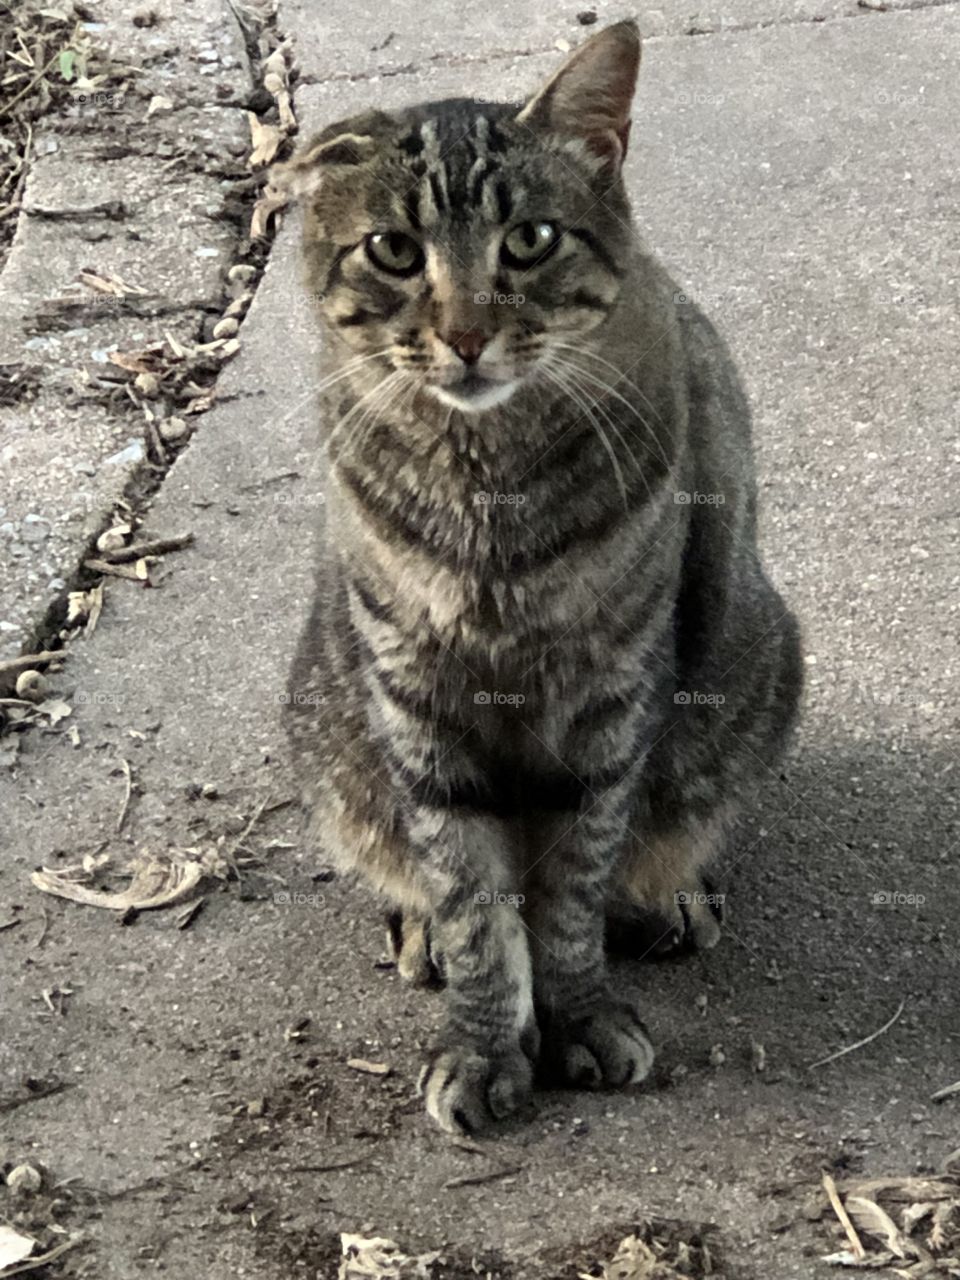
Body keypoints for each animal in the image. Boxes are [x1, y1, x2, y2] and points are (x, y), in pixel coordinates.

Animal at [276, 20, 803, 1136]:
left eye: (530, 240)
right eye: (394, 251)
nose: (467, 333)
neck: (485, 495)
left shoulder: (611, 693)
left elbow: (572, 879)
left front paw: (576, 1014)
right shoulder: (417, 699)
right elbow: (470, 889)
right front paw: (485, 1038)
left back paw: (669, 892)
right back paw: (420, 931)